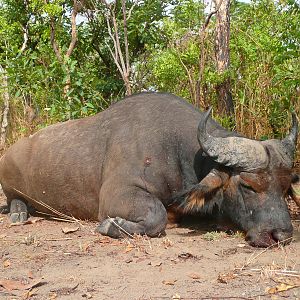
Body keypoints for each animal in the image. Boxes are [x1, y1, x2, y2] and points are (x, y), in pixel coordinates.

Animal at [0, 93, 298, 246]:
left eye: (285, 188)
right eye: (248, 186)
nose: (282, 235)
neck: (173, 148)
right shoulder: (117, 195)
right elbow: (157, 216)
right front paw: (112, 225)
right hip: (11, 186)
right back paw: (19, 213)